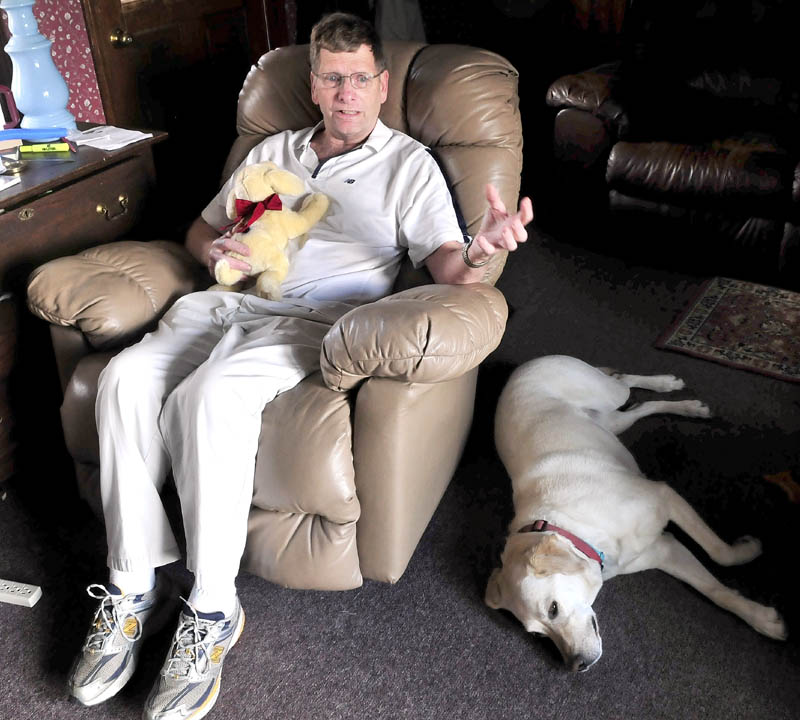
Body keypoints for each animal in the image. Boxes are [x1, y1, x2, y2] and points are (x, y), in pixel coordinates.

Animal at [488, 358, 788, 672]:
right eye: (538, 634)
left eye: (553, 608)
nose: (575, 665)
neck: (575, 528)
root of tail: (524, 366)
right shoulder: (665, 550)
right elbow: (716, 591)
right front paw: (763, 619)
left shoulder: (664, 497)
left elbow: (720, 553)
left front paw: (747, 551)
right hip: (610, 423)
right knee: (639, 407)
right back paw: (687, 405)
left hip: (606, 393)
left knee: (624, 381)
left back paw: (667, 384)